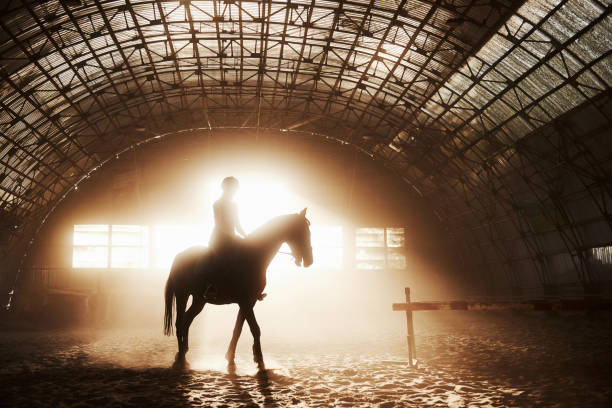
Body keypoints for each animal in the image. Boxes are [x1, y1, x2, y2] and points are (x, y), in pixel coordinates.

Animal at [163, 209, 314, 372]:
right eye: (303, 232)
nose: (309, 261)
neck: (254, 256)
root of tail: (180, 256)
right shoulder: (246, 302)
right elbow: (255, 329)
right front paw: (259, 360)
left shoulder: (249, 302)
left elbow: (238, 329)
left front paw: (230, 358)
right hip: (182, 295)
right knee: (180, 323)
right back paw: (181, 359)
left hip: (199, 300)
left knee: (187, 321)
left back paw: (183, 353)